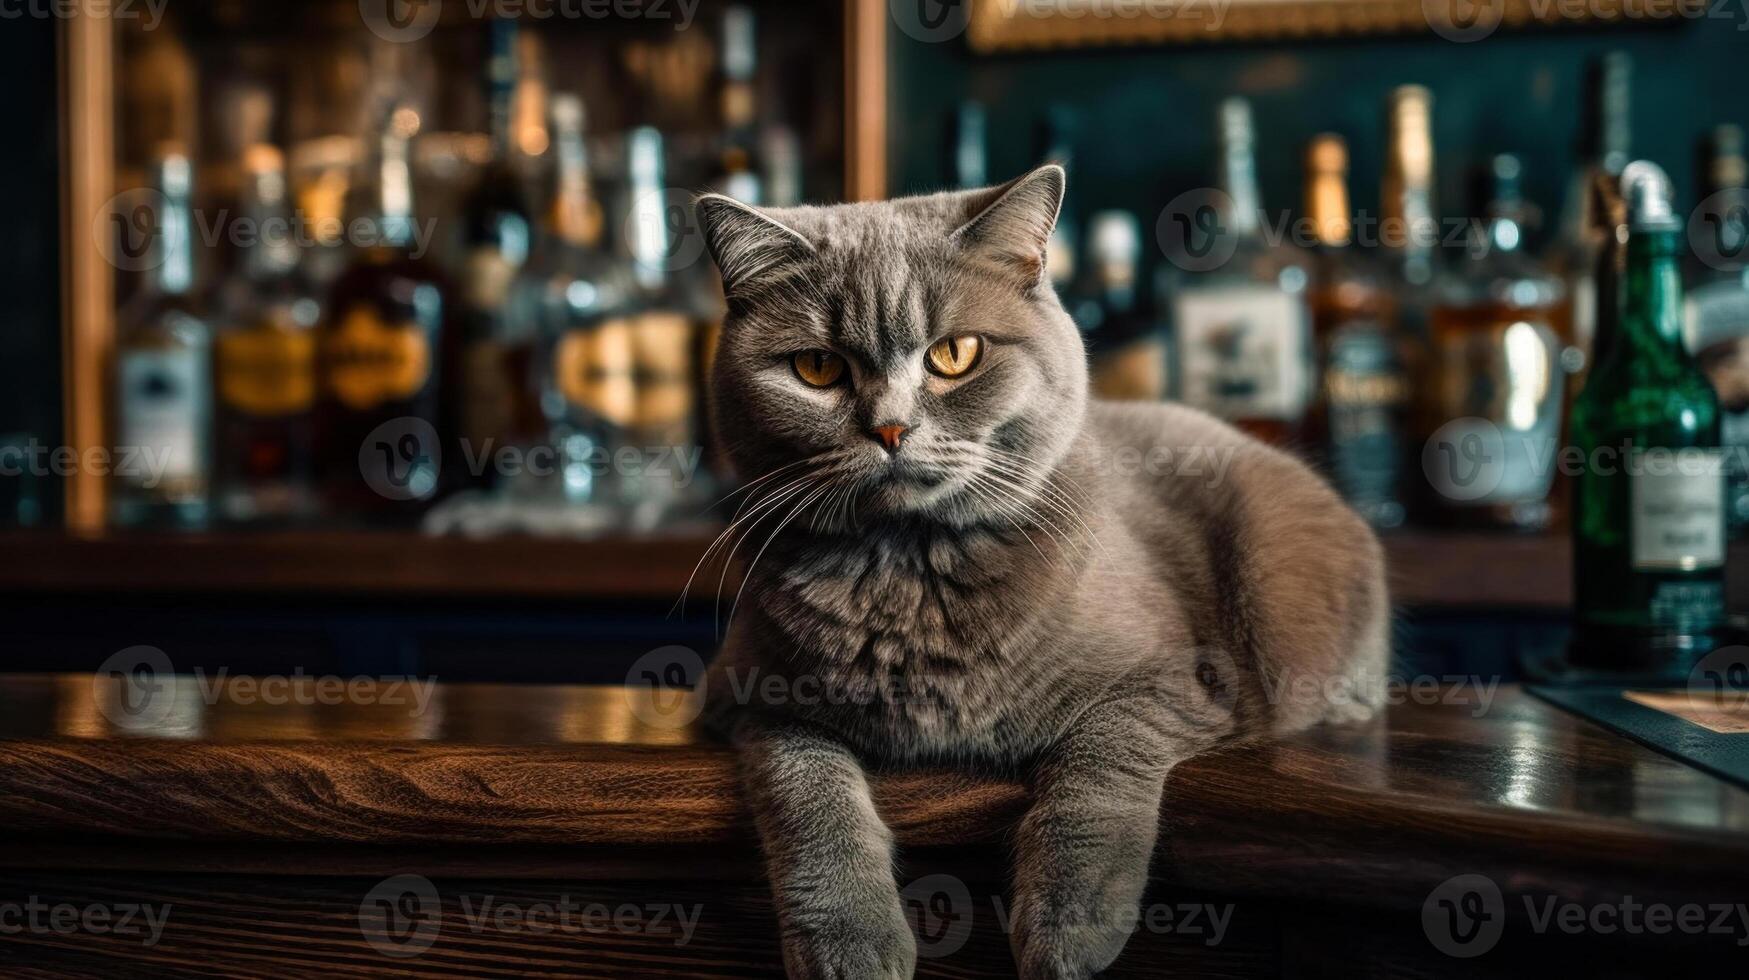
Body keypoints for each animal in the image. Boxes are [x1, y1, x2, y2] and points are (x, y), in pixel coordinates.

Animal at [689, 164, 1385, 973]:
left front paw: (1070, 926)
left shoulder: (1175, 681)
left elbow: (1098, 765)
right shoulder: (746, 697)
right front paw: (850, 940)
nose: (890, 428)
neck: (910, 571)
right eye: (817, 367)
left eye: (954, 355)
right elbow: (806, 788)